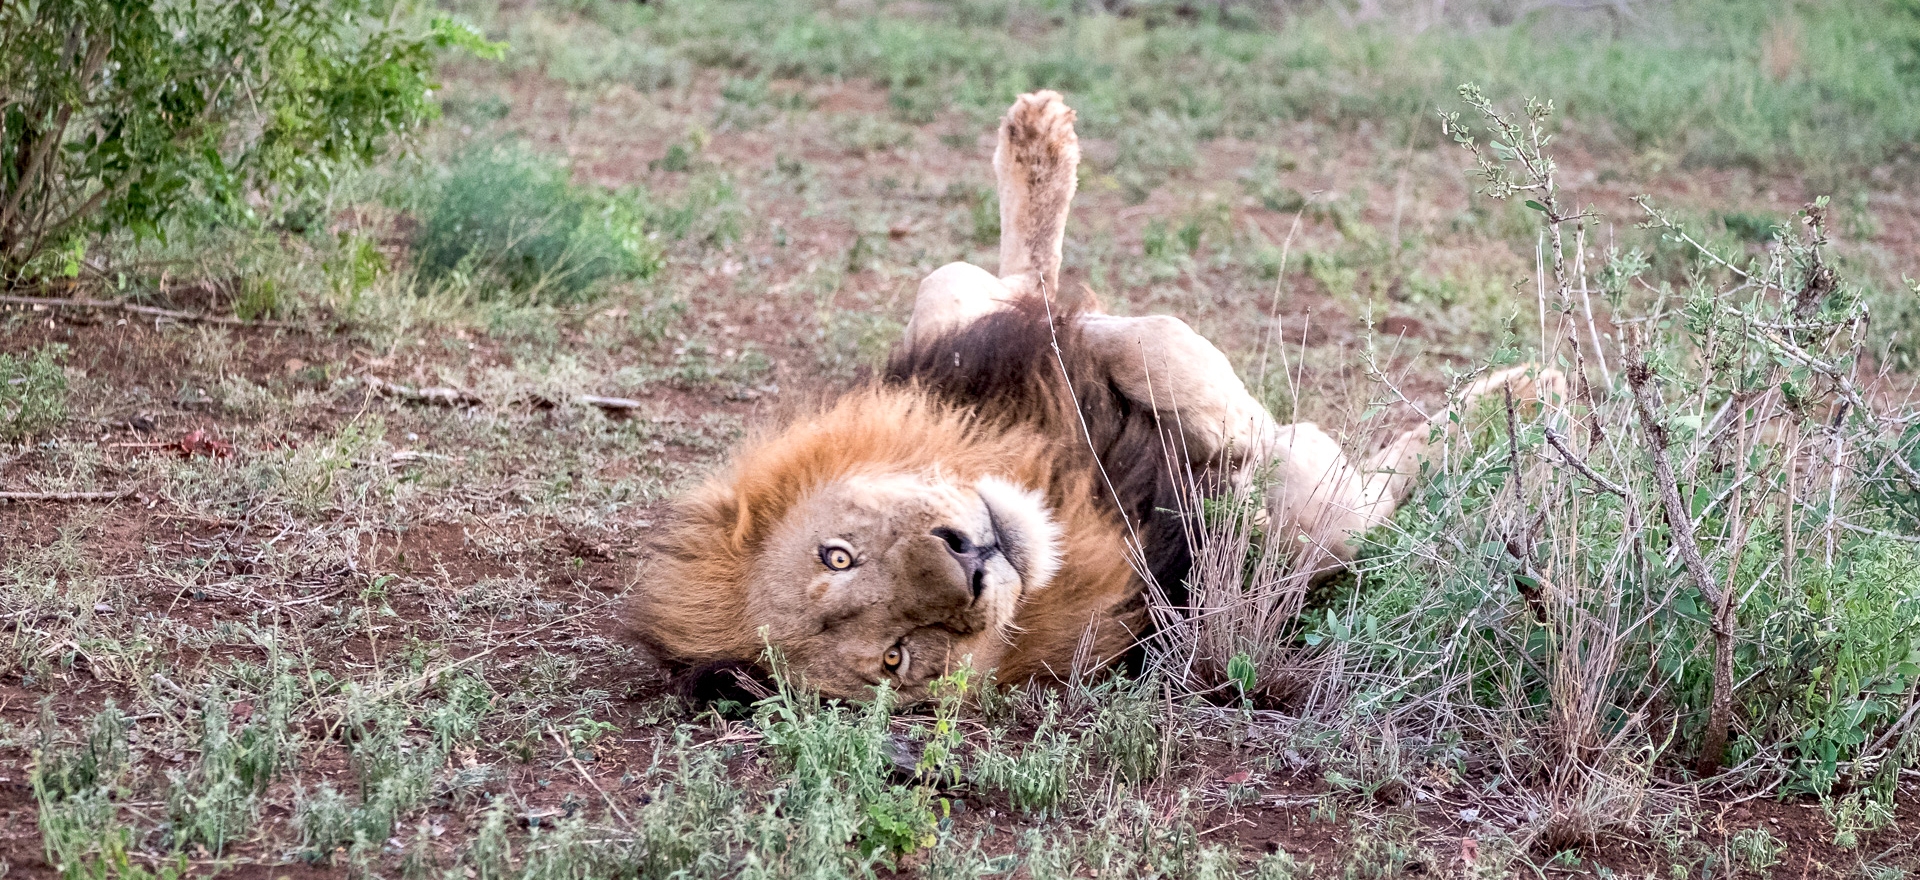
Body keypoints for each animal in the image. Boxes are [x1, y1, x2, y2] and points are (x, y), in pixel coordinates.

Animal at [633, 92, 1559, 703]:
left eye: (838, 555)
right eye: (898, 656)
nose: (970, 560)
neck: (1059, 492)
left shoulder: (976, 351)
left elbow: (1141, 337)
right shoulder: (1320, 525)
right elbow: (1326, 470)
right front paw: (1529, 391)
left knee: (1003, 275)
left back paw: (1036, 140)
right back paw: (1537, 390)